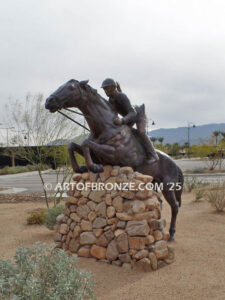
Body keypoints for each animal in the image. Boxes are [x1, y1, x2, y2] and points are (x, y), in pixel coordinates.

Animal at [45, 78, 183, 240]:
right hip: (154, 183)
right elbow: (72, 145)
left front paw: (94, 167)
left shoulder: (114, 154)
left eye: (71, 87)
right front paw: (81, 167)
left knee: (175, 206)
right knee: (160, 202)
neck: (106, 127)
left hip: (168, 186)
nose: (49, 101)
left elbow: (85, 143)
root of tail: (174, 164)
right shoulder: (96, 151)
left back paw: (171, 234)